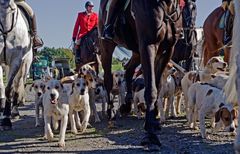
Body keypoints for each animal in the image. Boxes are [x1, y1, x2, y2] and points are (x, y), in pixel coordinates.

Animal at [98, 0, 181, 149]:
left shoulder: (167, 50)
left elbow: (157, 86)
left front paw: (153, 120)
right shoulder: (148, 46)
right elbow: (151, 90)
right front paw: (150, 135)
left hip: (136, 51)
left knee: (129, 69)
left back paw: (127, 103)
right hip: (106, 47)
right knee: (108, 79)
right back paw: (110, 111)